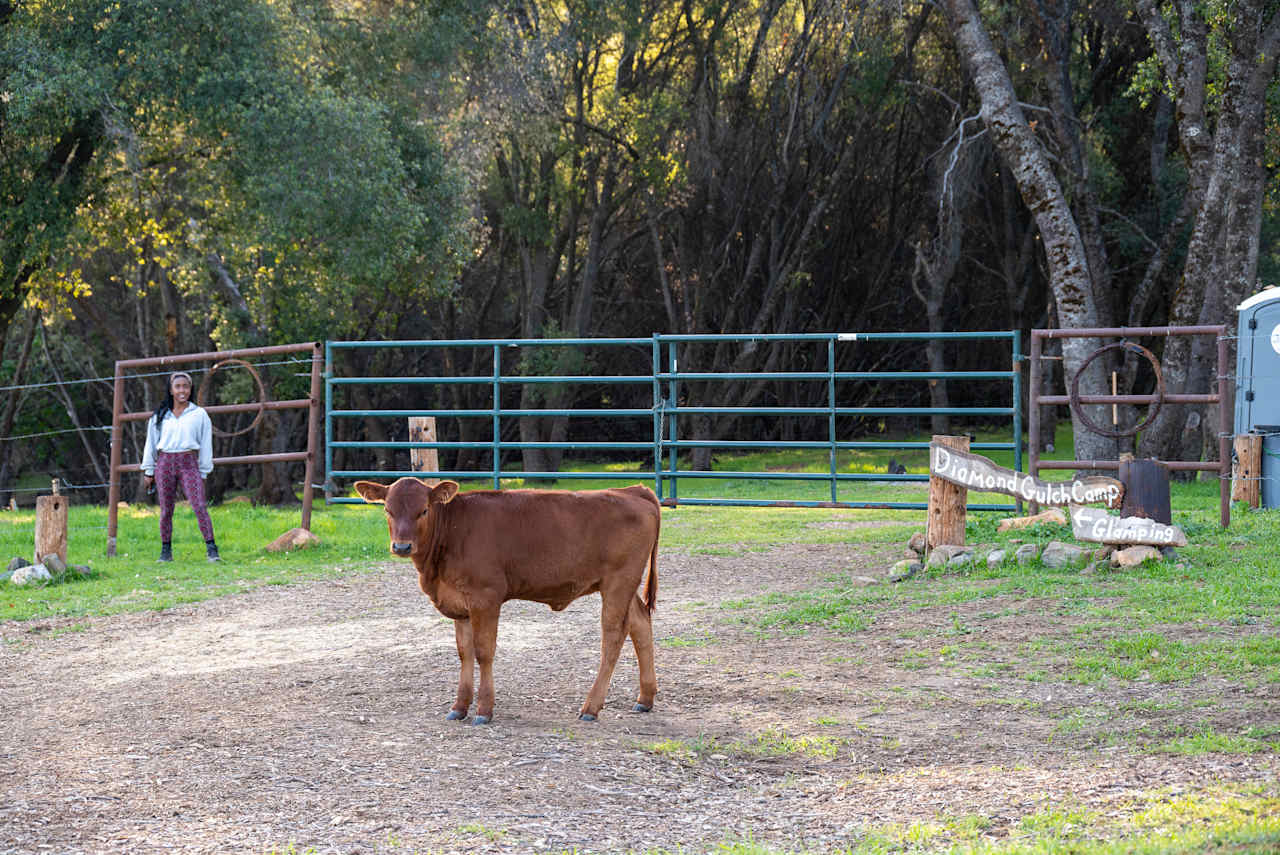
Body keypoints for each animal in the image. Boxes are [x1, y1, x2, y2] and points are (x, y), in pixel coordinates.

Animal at [358, 478, 665, 727]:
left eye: (423, 510)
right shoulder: (459, 604)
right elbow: (464, 653)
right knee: (640, 624)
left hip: (618, 581)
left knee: (613, 635)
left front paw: (484, 710)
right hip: (625, 585)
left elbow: (484, 652)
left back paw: (591, 707)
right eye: (387, 510)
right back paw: (645, 699)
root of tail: (633, 490)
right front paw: (459, 707)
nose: (401, 546)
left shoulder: (485, 597)